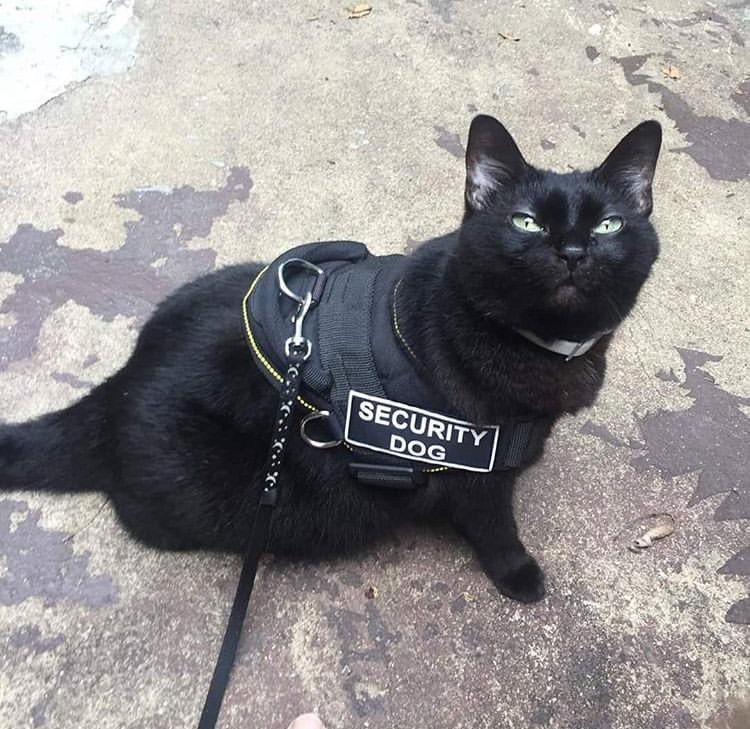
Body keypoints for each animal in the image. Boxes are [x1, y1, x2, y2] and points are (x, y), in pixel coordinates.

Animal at [0, 115, 660, 604]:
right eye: (526, 223)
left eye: (608, 226)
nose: (572, 251)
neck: (543, 347)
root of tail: (118, 386)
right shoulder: (476, 475)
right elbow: (496, 527)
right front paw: (520, 575)